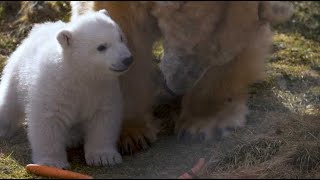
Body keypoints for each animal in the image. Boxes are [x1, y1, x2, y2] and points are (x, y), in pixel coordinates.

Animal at [0, 9, 133, 168]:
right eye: (101, 47)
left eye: (121, 37)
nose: (127, 59)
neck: (79, 74)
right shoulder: (55, 87)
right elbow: (48, 120)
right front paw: (52, 163)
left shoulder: (103, 87)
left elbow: (104, 118)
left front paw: (105, 157)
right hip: (18, 71)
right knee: (8, 103)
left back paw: (72, 138)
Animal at [71, 0, 294, 154]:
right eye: (185, 45)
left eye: (216, 59)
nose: (176, 88)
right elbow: (126, 31)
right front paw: (132, 133)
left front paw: (204, 125)